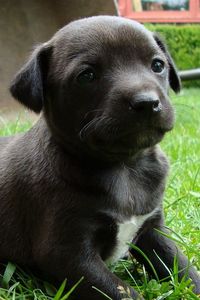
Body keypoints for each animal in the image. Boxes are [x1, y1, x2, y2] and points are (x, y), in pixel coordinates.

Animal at [0, 16, 200, 300]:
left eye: (158, 65)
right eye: (87, 75)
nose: (146, 103)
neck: (125, 166)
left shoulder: (153, 230)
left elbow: (183, 267)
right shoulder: (68, 253)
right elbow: (122, 292)